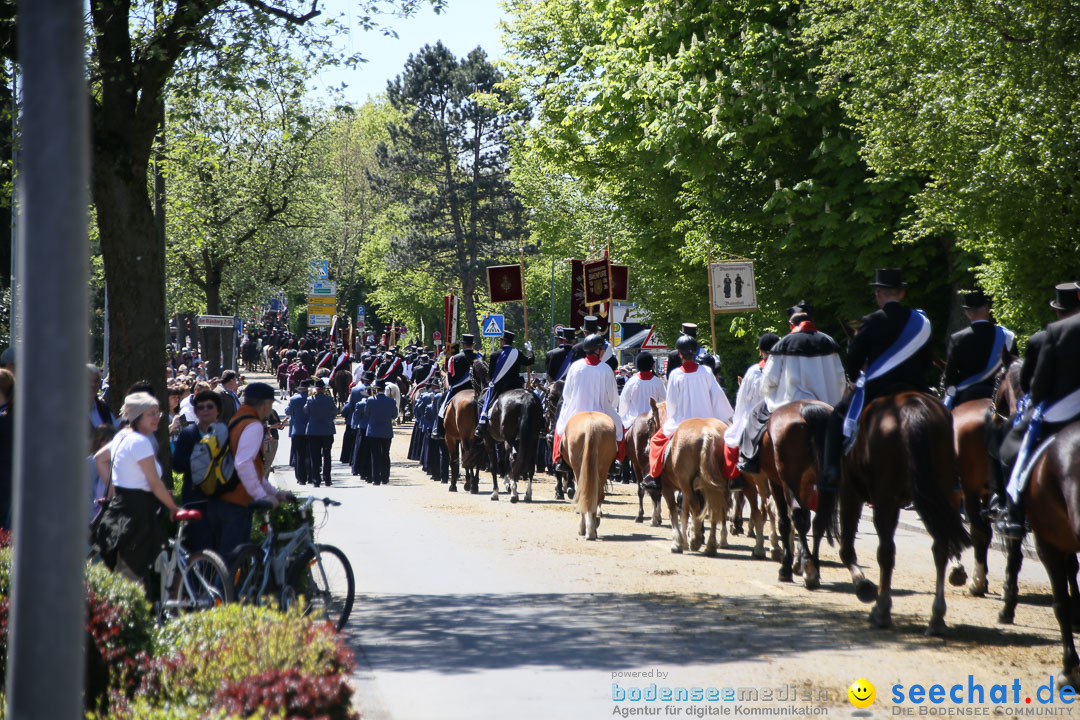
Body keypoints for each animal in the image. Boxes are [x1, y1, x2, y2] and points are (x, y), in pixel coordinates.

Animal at [473, 358, 544, 505]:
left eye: (471, 372)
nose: (475, 394)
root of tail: (527, 397)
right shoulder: (502, 441)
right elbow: (502, 461)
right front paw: (507, 483)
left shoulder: (489, 439)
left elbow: (494, 464)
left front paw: (496, 492)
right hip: (532, 438)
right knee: (530, 462)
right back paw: (527, 494)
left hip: (510, 438)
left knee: (514, 457)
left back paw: (514, 493)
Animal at [561, 410, 622, 539]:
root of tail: (591, 424)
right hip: (603, 468)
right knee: (597, 494)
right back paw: (593, 526)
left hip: (578, 468)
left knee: (583, 493)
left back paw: (586, 529)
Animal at [816, 390, 972, 634]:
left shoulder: (850, 491)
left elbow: (847, 548)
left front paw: (863, 585)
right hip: (941, 493)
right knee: (940, 548)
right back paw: (936, 617)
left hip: (884, 498)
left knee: (886, 551)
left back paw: (882, 610)